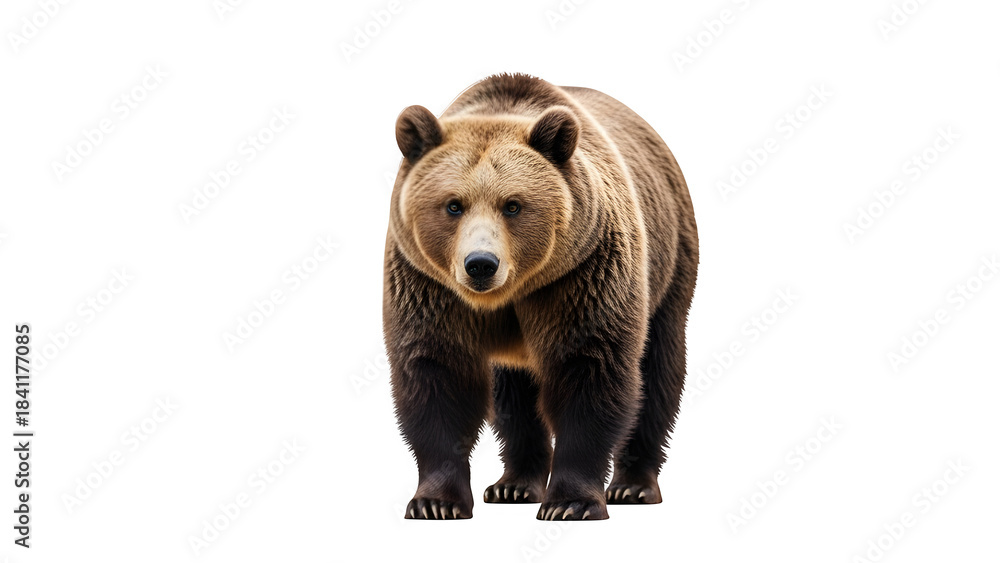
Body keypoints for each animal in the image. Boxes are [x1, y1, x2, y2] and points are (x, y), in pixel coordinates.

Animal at [383, 74, 698, 520]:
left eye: (513, 205)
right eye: (453, 205)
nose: (481, 264)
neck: (507, 295)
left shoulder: (580, 275)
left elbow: (588, 368)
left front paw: (571, 502)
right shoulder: (429, 286)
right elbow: (437, 373)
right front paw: (435, 502)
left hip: (669, 265)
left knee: (657, 372)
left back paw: (633, 485)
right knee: (513, 395)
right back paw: (513, 484)